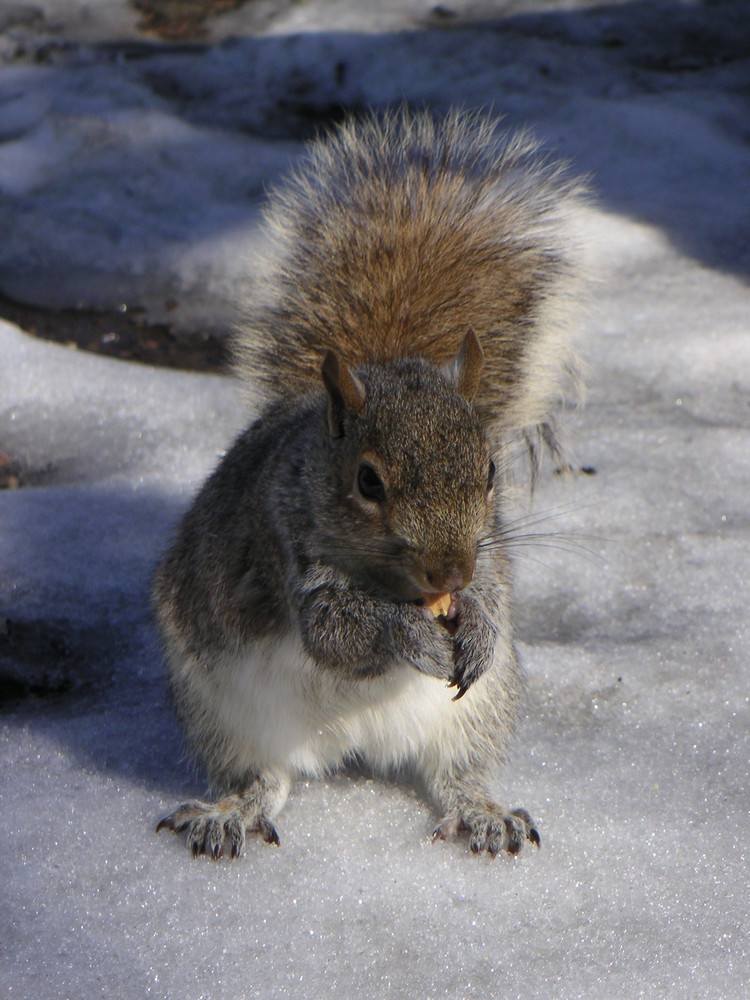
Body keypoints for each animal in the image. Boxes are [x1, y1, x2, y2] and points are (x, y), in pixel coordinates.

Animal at [153, 109, 588, 860]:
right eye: (366, 481)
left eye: (490, 471)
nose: (451, 570)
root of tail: (348, 742)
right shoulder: (285, 549)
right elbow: (336, 633)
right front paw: (408, 635)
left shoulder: (489, 557)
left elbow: (490, 596)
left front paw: (477, 624)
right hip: (221, 710)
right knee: (263, 779)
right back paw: (230, 813)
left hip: (477, 712)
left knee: (454, 774)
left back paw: (482, 812)